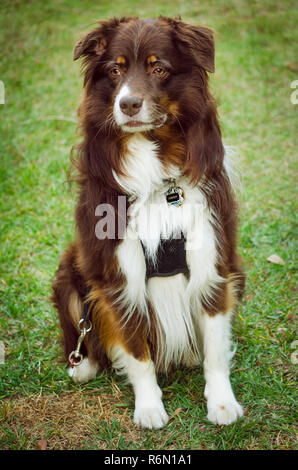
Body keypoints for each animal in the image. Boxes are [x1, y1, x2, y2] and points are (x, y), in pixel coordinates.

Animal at [52, 16, 246, 430]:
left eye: (159, 69)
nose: (127, 104)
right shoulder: (119, 276)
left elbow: (216, 346)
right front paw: (149, 407)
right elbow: (135, 348)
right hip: (69, 273)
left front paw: (222, 403)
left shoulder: (213, 262)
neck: (160, 178)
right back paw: (83, 363)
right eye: (114, 70)